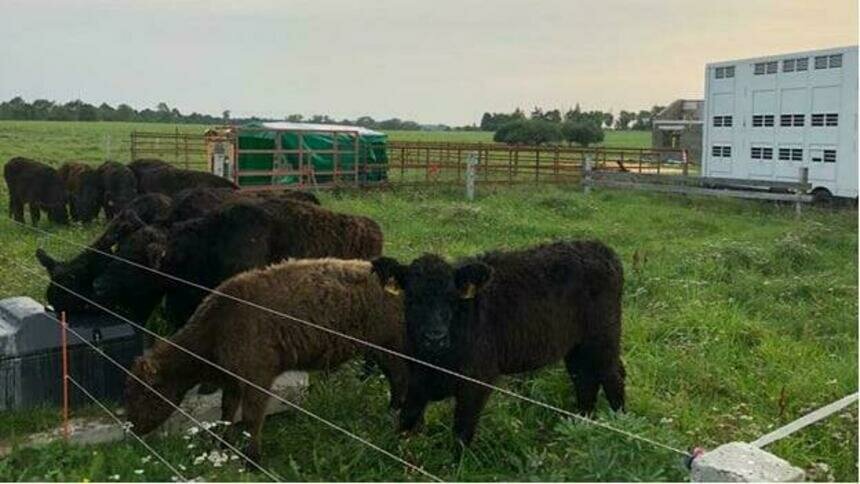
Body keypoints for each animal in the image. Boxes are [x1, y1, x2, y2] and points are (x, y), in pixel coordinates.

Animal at [124, 260, 410, 460]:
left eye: (146, 392)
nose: (133, 429)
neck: (217, 326)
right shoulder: (233, 380)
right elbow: (227, 412)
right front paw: (222, 444)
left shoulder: (257, 377)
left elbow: (252, 418)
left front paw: (252, 459)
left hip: (393, 348)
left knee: (402, 378)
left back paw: (398, 422)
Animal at [370, 240, 624, 448]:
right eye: (411, 298)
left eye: (452, 299)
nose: (435, 338)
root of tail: (599, 248)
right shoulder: (417, 378)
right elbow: (405, 421)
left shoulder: (477, 380)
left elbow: (461, 433)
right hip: (576, 347)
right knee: (585, 379)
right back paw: (583, 425)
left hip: (603, 338)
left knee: (613, 375)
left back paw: (620, 425)